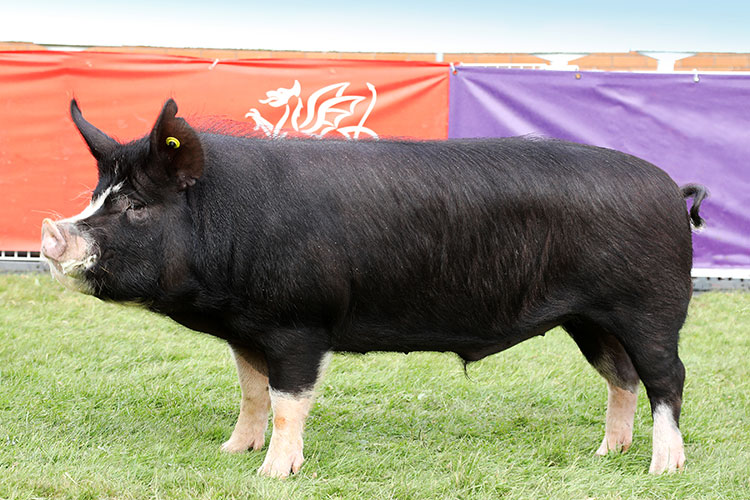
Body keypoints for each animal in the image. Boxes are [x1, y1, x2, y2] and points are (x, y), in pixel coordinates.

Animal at [42, 99, 707, 478]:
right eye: (97, 195)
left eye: (135, 206)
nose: (52, 231)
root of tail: (673, 190)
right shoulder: (247, 331)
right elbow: (252, 393)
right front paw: (232, 453)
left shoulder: (299, 324)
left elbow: (287, 400)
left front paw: (273, 475)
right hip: (590, 319)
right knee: (622, 378)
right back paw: (606, 455)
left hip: (651, 307)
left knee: (667, 378)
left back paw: (663, 470)